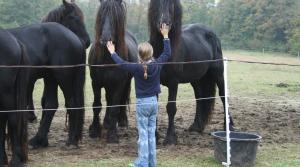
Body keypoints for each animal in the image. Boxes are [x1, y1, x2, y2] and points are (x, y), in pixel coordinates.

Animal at [7, 0, 89, 149]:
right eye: (74, 18)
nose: (88, 41)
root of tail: (76, 39)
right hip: (51, 78)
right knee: (51, 104)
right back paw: (39, 139)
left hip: (62, 78)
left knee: (72, 104)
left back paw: (70, 140)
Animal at [87, 0, 138, 144]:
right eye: (102, 15)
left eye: (115, 17)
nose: (105, 39)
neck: (107, 57)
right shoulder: (96, 83)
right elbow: (97, 105)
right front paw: (94, 131)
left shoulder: (119, 84)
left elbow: (115, 107)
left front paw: (112, 135)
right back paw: (106, 122)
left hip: (124, 84)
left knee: (119, 101)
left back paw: (121, 122)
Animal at [148, 0, 234, 145]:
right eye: (157, 4)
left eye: (172, 5)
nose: (164, 24)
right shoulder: (154, 82)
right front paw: (154, 136)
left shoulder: (173, 83)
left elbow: (171, 108)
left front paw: (170, 138)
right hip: (197, 79)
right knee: (199, 98)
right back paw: (196, 127)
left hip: (218, 75)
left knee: (223, 96)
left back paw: (230, 127)